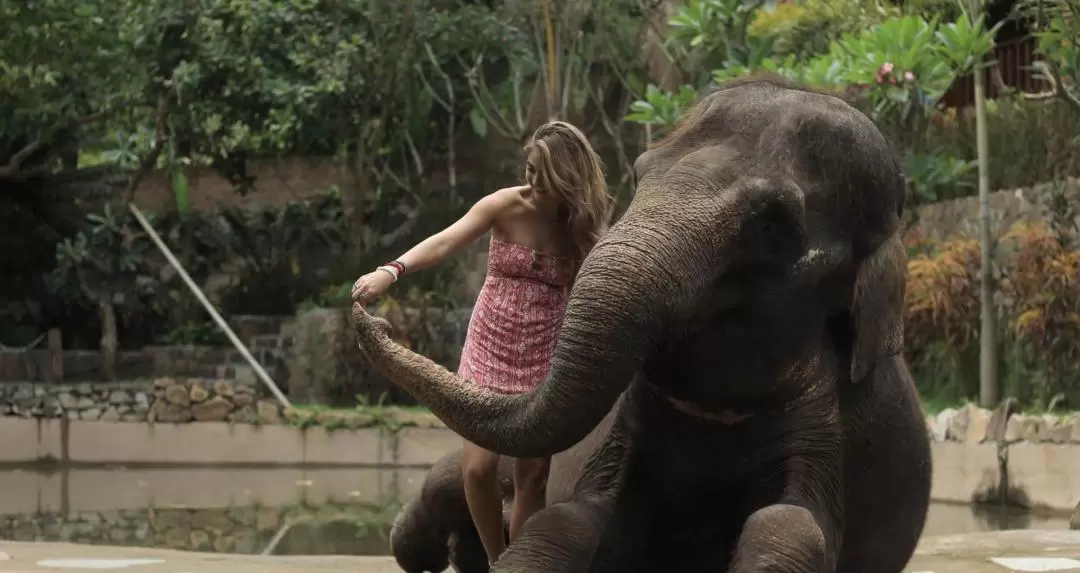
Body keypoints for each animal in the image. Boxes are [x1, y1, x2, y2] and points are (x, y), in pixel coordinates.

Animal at [354, 73, 928, 569]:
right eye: (639, 172)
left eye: (773, 222)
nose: (369, 319)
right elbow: (572, 518)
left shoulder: (826, 423)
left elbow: (792, 525)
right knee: (455, 478)